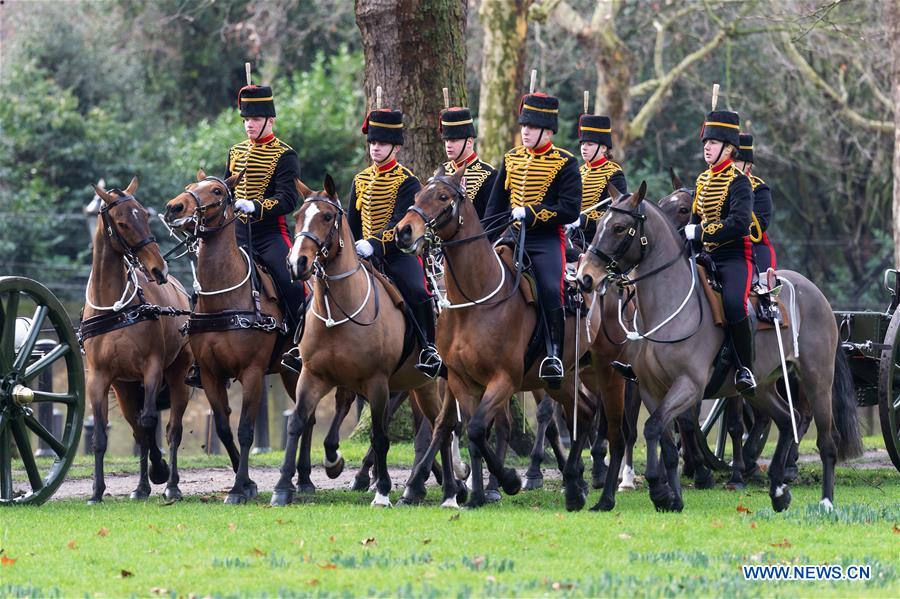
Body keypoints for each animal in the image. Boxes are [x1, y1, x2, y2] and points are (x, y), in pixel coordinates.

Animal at [81, 177, 193, 502]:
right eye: (122, 222)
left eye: (144, 215)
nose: (158, 268)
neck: (116, 310)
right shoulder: (100, 378)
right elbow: (102, 436)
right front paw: (96, 490)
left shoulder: (152, 368)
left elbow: (150, 422)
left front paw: (161, 470)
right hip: (125, 388)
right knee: (137, 429)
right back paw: (142, 486)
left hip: (178, 377)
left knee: (171, 429)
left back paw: (171, 484)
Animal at [166, 171, 310, 504]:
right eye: (190, 188)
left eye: (217, 191)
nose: (174, 208)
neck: (225, 298)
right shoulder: (210, 374)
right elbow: (223, 427)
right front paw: (246, 484)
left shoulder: (252, 372)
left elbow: (245, 429)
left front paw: (238, 488)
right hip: (287, 373)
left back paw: (304, 480)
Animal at [272, 176, 464, 508]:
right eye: (297, 216)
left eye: (327, 216)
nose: (297, 263)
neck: (339, 311)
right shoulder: (312, 374)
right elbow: (297, 422)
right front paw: (284, 487)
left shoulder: (377, 382)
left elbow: (380, 434)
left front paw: (383, 491)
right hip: (420, 385)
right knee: (438, 425)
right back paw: (440, 488)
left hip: (439, 382)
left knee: (444, 425)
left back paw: (449, 492)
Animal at [394, 164, 632, 510]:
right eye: (416, 197)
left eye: (443, 197)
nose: (403, 232)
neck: (474, 302)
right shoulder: (461, 381)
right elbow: (470, 433)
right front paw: (475, 494)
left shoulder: (504, 379)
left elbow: (478, 427)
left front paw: (507, 481)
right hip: (560, 377)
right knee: (586, 411)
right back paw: (574, 486)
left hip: (607, 371)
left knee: (609, 423)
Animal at [572, 182, 860, 510]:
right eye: (599, 226)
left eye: (619, 228)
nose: (585, 277)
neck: (670, 306)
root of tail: (816, 293)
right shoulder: (650, 389)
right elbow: (664, 440)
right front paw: (670, 496)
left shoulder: (689, 385)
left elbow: (655, 428)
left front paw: (661, 490)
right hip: (761, 387)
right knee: (789, 420)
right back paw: (778, 489)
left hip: (817, 380)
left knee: (826, 439)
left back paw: (825, 501)